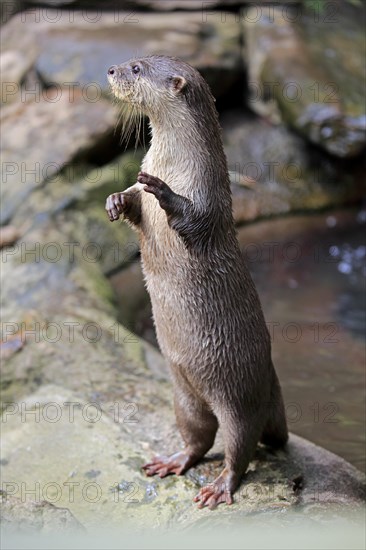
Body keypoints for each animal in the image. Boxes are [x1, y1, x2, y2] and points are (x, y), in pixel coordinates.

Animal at [104, 54, 288, 512]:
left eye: (137, 68)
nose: (111, 71)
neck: (172, 164)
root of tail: (272, 382)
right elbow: (132, 201)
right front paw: (115, 201)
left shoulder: (209, 200)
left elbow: (193, 217)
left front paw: (164, 193)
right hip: (183, 394)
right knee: (199, 437)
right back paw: (173, 461)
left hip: (242, 396)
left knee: (240, 446)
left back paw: (220, 487)